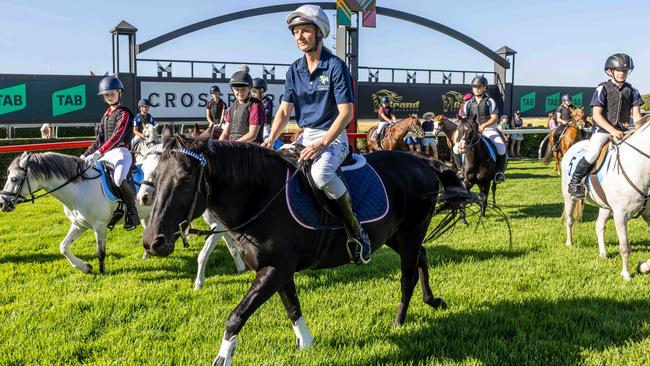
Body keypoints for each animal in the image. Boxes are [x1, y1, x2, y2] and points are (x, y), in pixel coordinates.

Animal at [0, 150, 156, 274]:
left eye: (14, 179)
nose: (2, 203)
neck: (79, 189)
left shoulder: (99, 226)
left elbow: (101, 253)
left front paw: (102, 272)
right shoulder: (79, 224)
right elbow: (63, 246)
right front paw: (85, 267)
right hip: (147, 216)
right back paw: (147, 255)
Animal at [137, 142, 246, 288]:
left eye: (154, 171)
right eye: (143, 169)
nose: (142, 198)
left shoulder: (218, 226)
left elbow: (203, 255)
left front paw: (198, 284)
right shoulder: (222, 226)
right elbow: (232, 247)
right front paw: (241, 268)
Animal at [556, 116, 648, 282]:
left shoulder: (648, 214)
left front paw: (643, 267)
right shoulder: (620, 215)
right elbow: (625, 247)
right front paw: (626, 274)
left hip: (605, 206)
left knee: (599, 226)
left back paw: (603, 253)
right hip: (569, 197)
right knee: (569, 220)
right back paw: (569, 243)